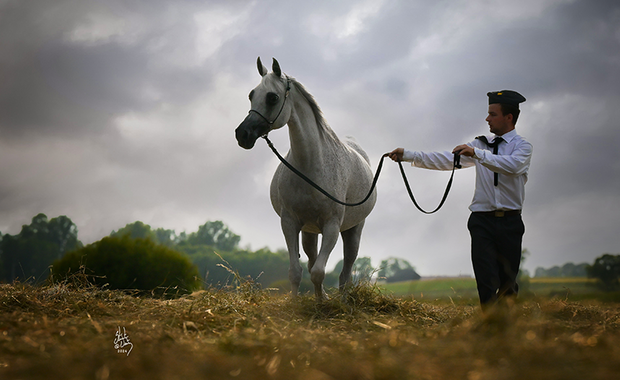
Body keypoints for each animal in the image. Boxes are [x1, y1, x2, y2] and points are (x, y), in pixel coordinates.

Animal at [235, 57, 376, 300]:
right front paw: (297, 301)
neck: (311, 166)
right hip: (310, 233)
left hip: (353, 230)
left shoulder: (332, 226)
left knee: (346, 270)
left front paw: (323, 302)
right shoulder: (290, 222)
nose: (242, 134)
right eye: (251, 94)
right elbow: (297, 271)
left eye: (272, 97)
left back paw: (341, 298)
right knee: (312, 262)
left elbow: (319, 272)